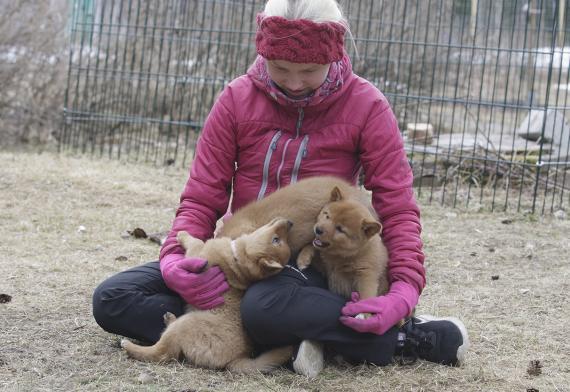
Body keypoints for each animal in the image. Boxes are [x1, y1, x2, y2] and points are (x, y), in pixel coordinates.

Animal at [122, 217, 296, 374]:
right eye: (277, 240)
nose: (290, 222)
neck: (237, 262)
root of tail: (236, 359)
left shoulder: (197, 252)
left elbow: (194, 241)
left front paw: (182, 234)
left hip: (185, 326)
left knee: (162, 353)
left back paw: (130, 346)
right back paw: (169, 318)